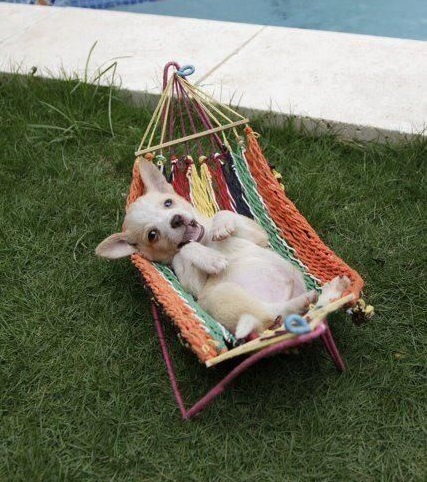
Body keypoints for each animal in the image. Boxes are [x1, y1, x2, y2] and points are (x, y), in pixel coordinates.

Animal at [97, 160, 352, 338]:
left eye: (168, 203)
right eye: (152, 235)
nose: (176, 220)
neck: (205, 241)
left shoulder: (258, 236)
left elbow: (223, 213)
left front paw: (221, 226)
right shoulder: (193, 285)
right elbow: (185, 250)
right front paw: (211, 259)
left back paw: (332, 290)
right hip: (223, 296)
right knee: (275, 314)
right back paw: (311, 298)